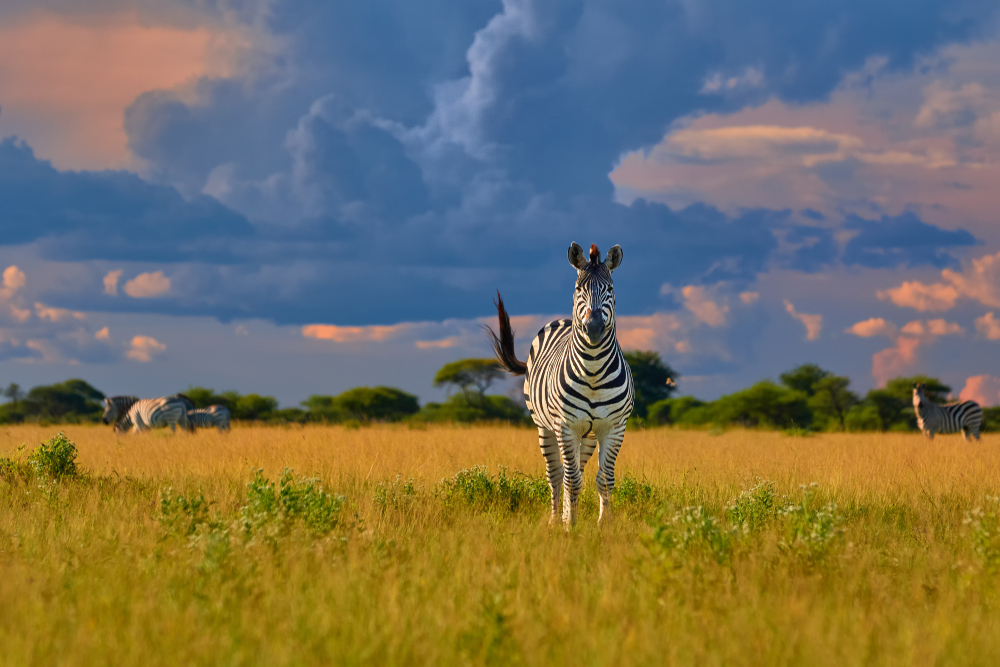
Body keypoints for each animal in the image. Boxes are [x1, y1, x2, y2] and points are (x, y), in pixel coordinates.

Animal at [487, 242, 634, 526]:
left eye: (610, 289)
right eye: (578, 289)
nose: (594, 327)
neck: (593, 371)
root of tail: (560, 321)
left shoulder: (614, 427)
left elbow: (604, 480)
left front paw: (604, 525)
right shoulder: (565, 426)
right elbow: (570, 480)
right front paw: (570, 527)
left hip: (587, 435)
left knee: (575, 469)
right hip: (545, 427)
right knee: (557, 475)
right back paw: (556, 520)